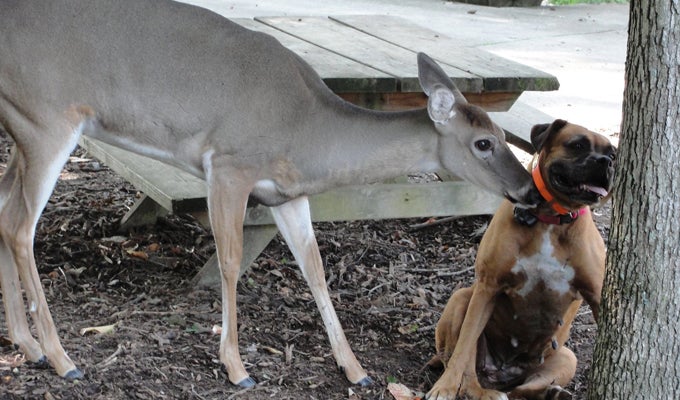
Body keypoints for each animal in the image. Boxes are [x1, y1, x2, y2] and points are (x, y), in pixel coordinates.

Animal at [1, 0, 540, 390]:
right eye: (484, 143)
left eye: (501, 133)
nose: (526, 191)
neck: (308, 134)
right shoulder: (228, 165)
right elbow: (230, 262)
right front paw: (236, 367)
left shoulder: (287, 194)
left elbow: (315, 269)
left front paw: (355, 369)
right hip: (46, 119)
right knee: (23, 228)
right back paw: (61, 357)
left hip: (22, 132)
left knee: (5, 217)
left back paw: (28, 347)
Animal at [430, 119, 616, 400]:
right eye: (578, 145)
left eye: (613, 154)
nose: (605, 162)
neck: (552, 219)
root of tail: (501, 371)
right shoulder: (487, 287)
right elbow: (462, 350)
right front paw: (444, 387)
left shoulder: (596, 296)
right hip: (463, 299)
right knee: (468, 370)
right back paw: (481, 391)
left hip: (564, 358)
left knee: (522, 390)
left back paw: (552, 393)